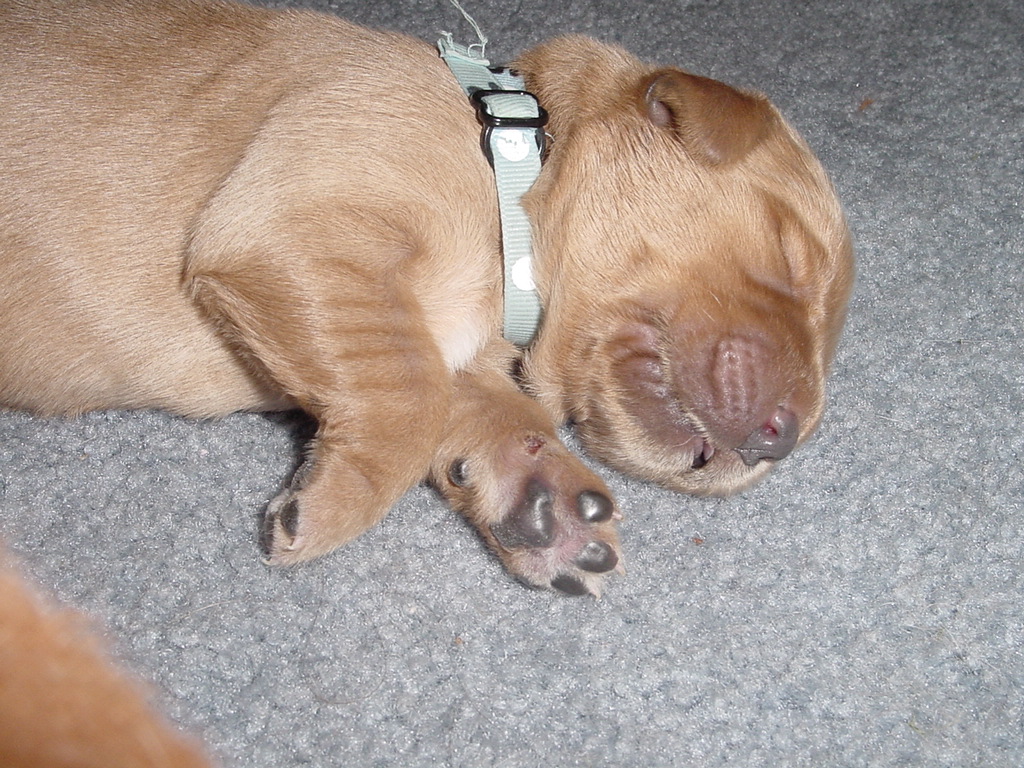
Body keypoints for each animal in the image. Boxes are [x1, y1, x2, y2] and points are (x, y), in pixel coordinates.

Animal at [0, 0, 851, 593]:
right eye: (792, 253)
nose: (781, 440)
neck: (509, 153)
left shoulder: (436, 336)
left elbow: (458, 395)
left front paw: (543, 499)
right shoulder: (295, 222)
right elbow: (409, 400)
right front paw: (331, 505)